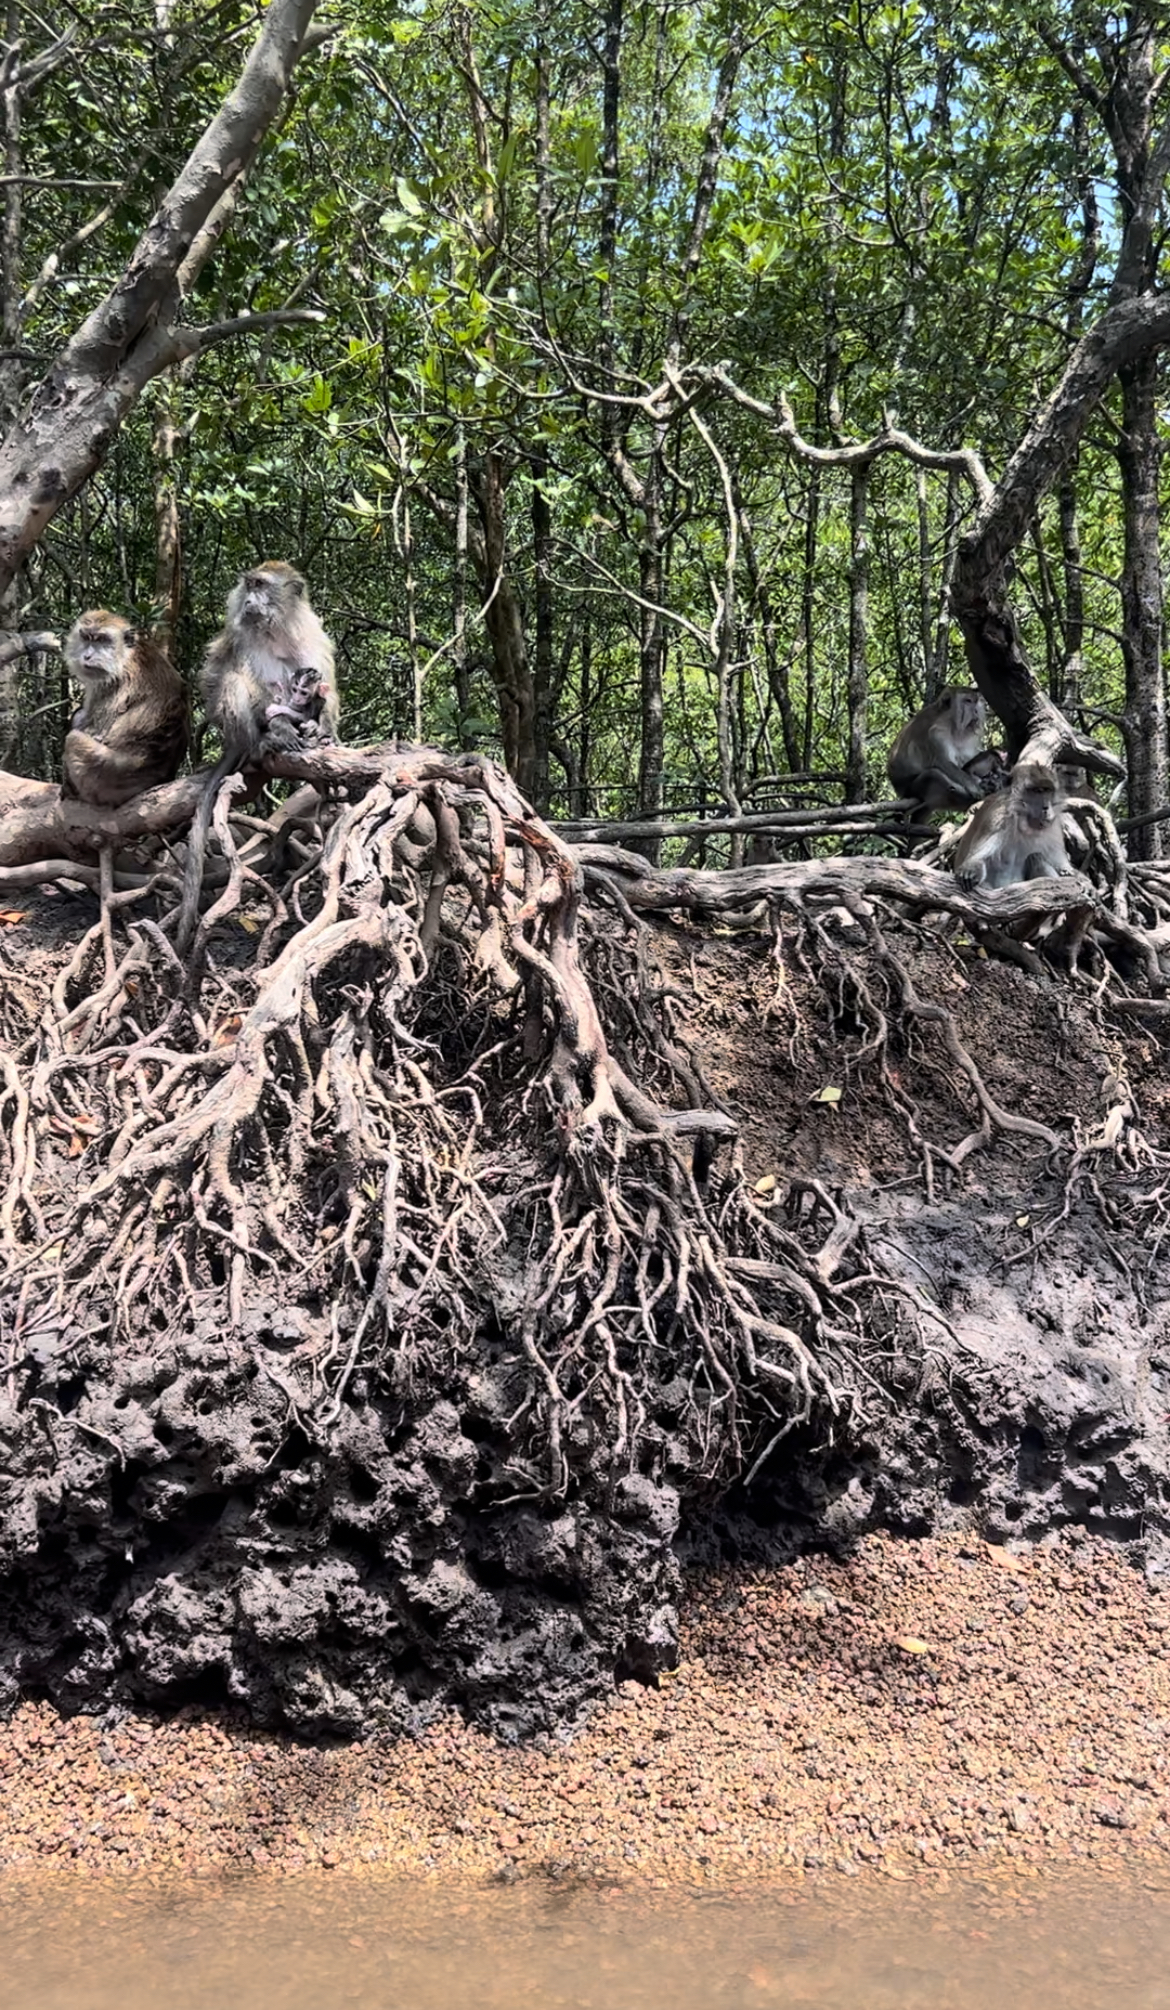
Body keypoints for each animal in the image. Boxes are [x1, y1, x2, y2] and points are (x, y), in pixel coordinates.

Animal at [61, 611, 188, 808]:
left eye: (102, 639)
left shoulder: (109, 684)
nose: (87, 656)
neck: (126, 655)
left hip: (101, 778)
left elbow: (95, 732)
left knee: (74, 737)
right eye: (86, 637)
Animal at [201, 558, 339, 759]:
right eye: (249, 585)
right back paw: (260, 742)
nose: (248, 600)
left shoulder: (313, 636)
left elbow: (325, 687)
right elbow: (215, 677)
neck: (277, 630)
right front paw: (281, 725)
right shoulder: (239, 637)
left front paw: (326, 727)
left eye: (260, 584)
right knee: (232, 680)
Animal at [952, 755, 1069, 892]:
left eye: (1048, 790)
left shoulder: (1053, 825)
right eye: (1037, 791)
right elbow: (979, 857)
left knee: (1036, 857)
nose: (1046, 808)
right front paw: (970, 869)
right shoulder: (999, 816)